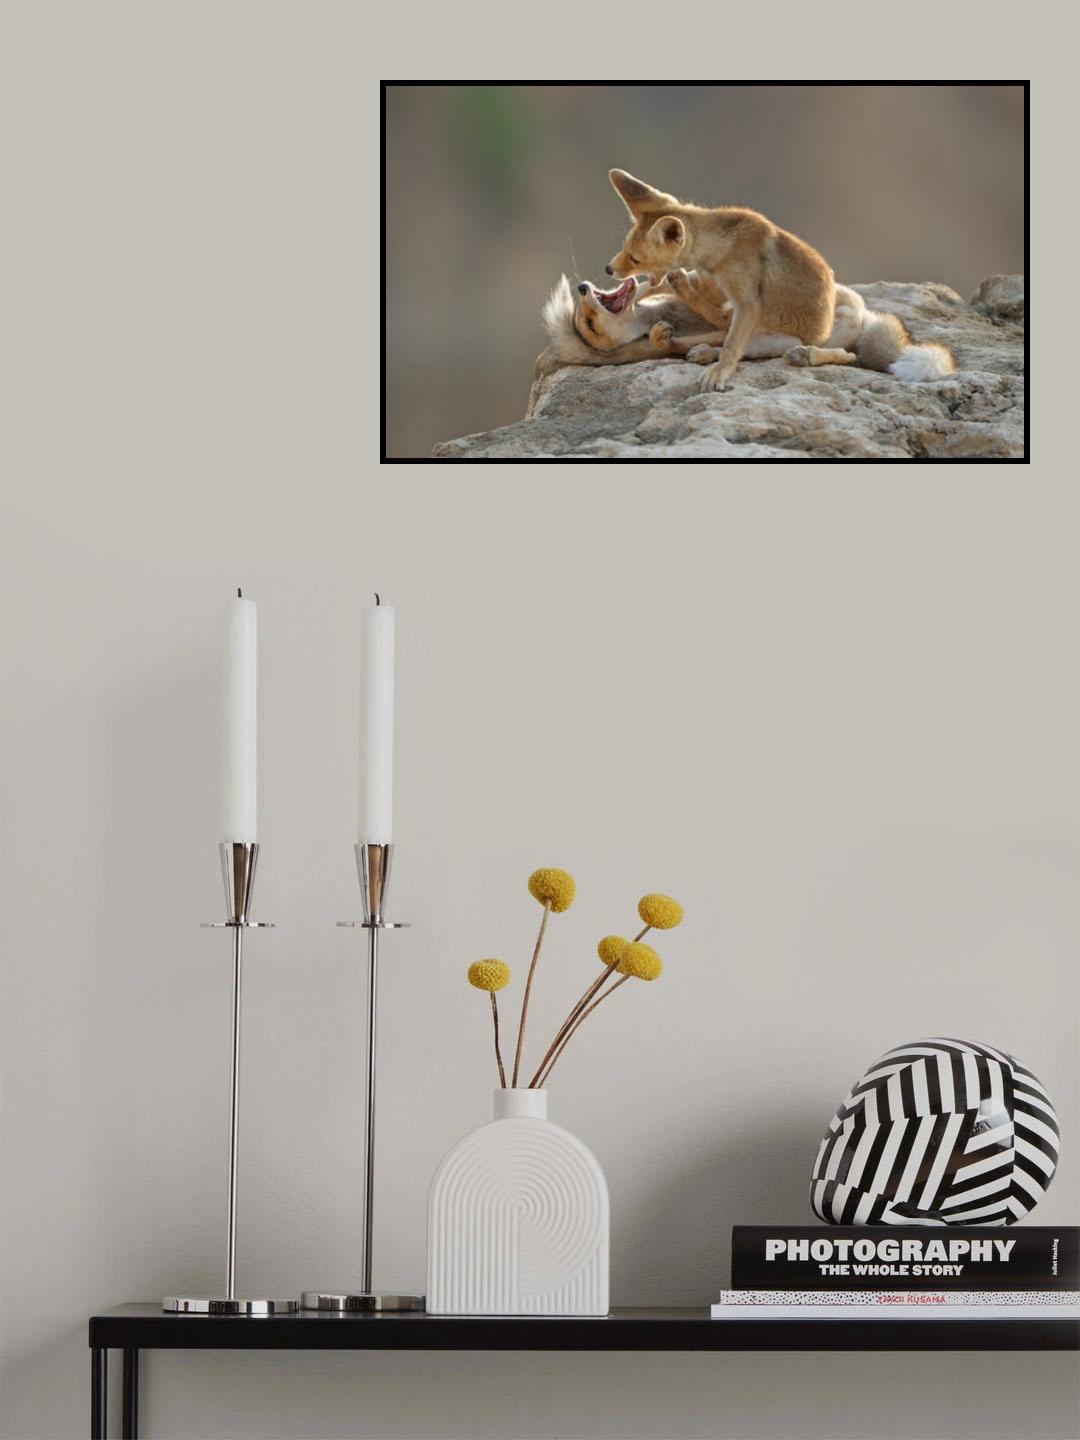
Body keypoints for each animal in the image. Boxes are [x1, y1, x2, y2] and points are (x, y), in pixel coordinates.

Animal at [606, 168, 842, 392]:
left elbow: (729, 349)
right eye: (624, 248)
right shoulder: (711, 283)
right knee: (686, 339)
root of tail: (823, 333)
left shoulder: (747, 303)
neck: (723, 250)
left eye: (635, 259)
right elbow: (661, 288)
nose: (608, 269)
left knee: (725, 332)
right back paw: (688, 341)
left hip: (775, 342)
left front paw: (718, 372)